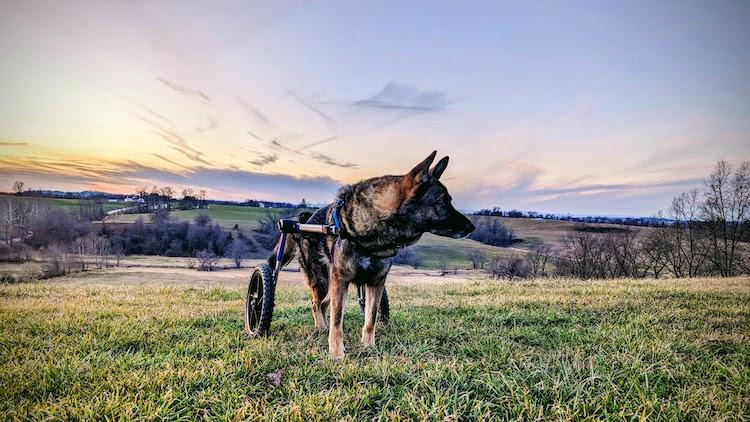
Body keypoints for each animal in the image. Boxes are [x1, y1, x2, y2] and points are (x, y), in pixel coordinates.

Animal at [270, 150, 476, 358]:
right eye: (441, 202)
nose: (472, 227)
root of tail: (304, 220)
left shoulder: (376, 282)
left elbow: (371, 318)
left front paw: (368, 347)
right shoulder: (341, 279)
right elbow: (337, 321)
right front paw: (336, 353)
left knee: (324, 303)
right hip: (322, 279)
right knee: (316, 303)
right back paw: (321, 327)